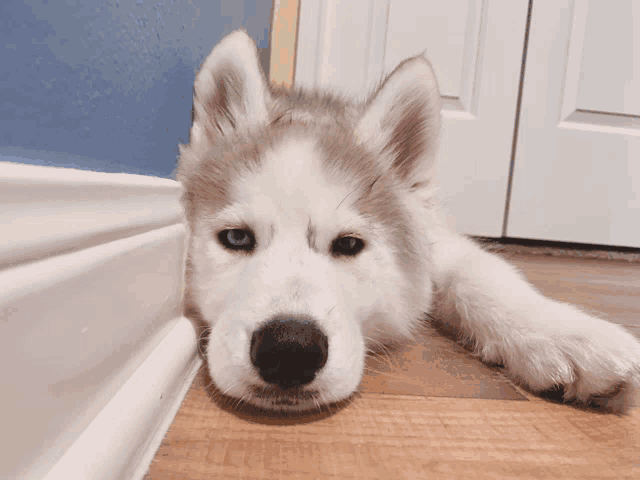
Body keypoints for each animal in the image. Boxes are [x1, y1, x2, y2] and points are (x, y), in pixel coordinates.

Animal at [176, 30, 640, 412]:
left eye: (349, 244)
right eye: (236, 238)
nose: (290, 349)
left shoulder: (436, 240)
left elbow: (485, 275)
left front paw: (566, 335)